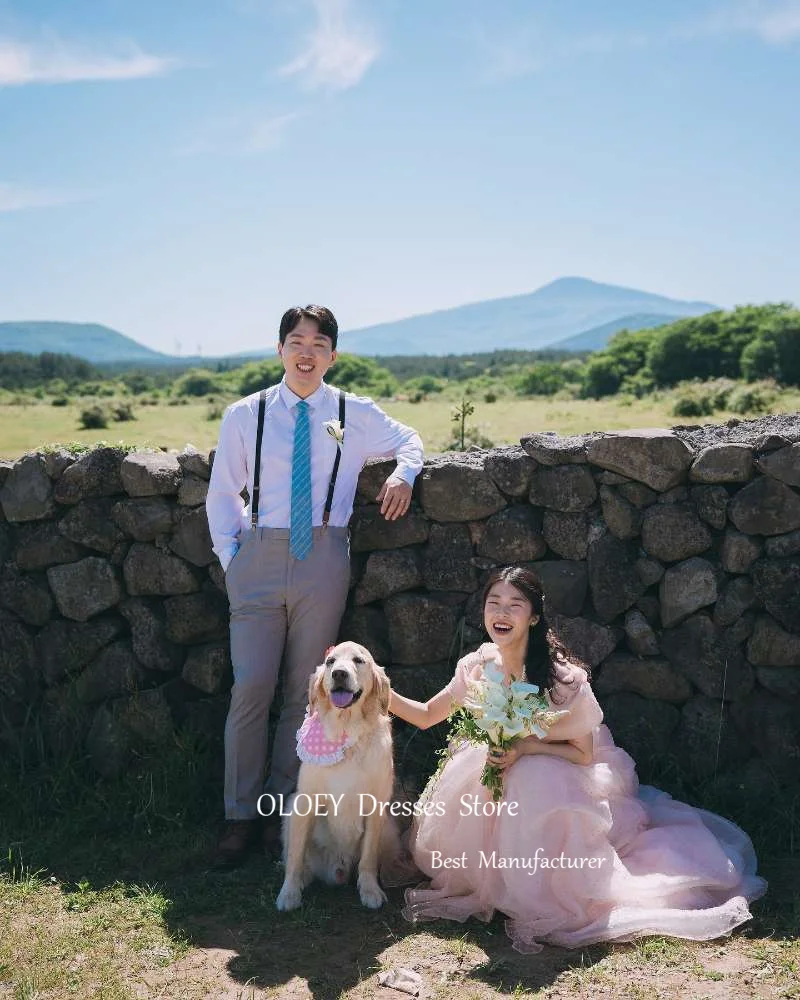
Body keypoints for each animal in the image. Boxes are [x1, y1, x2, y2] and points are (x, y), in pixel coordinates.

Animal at [276, 644, 400, 912]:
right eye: (330, 661)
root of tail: (339, 868)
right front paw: (289, 893)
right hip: (291, 810)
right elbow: (295, 856)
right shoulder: (305, 800)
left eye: (359, 660)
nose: (339, 674)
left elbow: (368, 857)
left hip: (389, 827)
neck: (346, 728)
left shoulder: (376, 804)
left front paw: (370, 890)